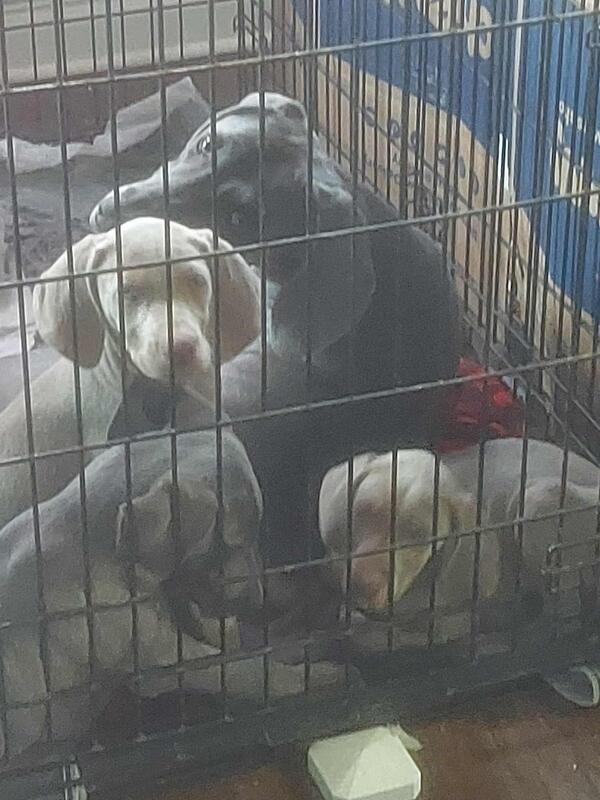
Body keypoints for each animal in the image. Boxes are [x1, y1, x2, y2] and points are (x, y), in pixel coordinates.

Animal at [319, 438, 600, 641]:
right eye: (362, 510)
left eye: (421, 537)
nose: (360, 585)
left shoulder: (451, 623)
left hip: (535, 499)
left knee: (565, 604)